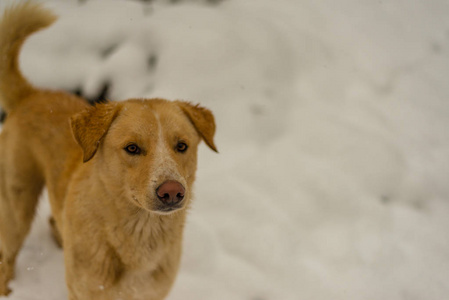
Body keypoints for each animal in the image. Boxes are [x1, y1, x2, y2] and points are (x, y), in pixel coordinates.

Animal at [0, 2, 217, 300]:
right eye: (132, 148)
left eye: (182, 146)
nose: (172, 191)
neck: (139, 235)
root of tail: (31, 94)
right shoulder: (85, 292)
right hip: (16, 206)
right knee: (7, 256)